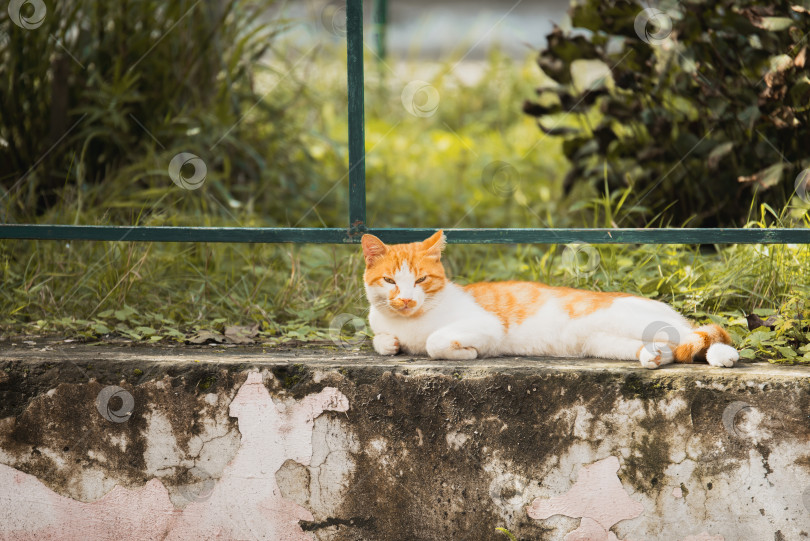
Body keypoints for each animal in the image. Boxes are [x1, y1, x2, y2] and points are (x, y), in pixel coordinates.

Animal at [360, 230, 740, 370]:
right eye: (390, 281)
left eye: (421, 280)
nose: (405, 300)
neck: (408, 322)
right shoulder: (381, 323)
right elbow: (381, 340)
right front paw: (390, 344)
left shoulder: (487, 325)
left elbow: (435, 343)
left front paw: (464, 352)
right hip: (606, 343)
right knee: (669, 348)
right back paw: (655, 357)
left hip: (634, 320)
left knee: (703, 334)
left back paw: (724, 356)